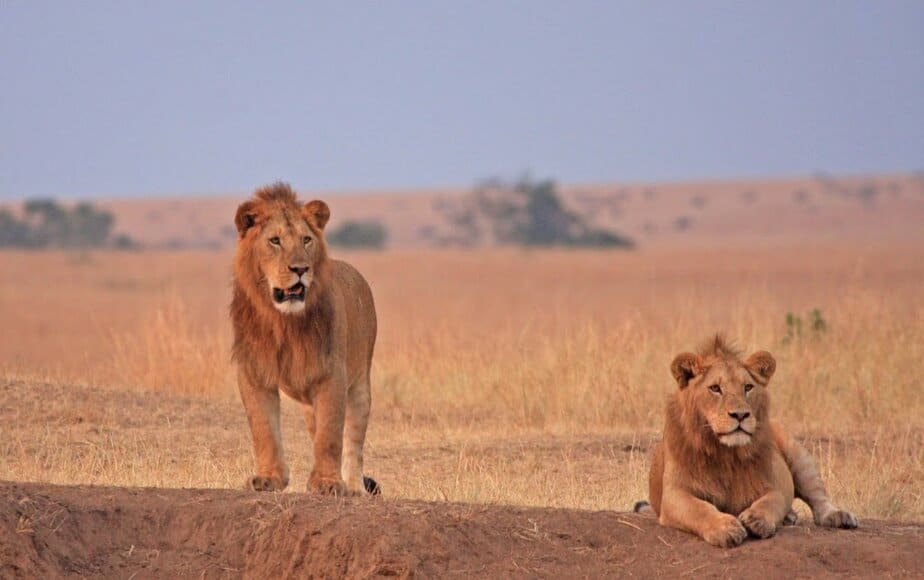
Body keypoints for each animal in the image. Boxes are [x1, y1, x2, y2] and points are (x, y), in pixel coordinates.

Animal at [231, 182, 379, 496]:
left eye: (306, 240)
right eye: (275, 241)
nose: (300, 269)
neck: (285, 322)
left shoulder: (332, 375)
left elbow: (331, 435)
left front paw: (327, 482)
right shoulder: (253, 372)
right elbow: (264, 429)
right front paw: (268, 478)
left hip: (360, 384)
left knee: (353, 440)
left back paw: (354, 487)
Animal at [634, 335, 857, 547]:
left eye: (748, 387)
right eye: (715, 388)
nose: (740, 414)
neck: (725, 453)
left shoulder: (776, 481)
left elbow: (771, 501)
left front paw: (756, 519)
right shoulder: (674, 494)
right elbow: (700, 509)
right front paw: (725, 528)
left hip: (798, 455)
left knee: (818, 496)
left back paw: (838, 516)